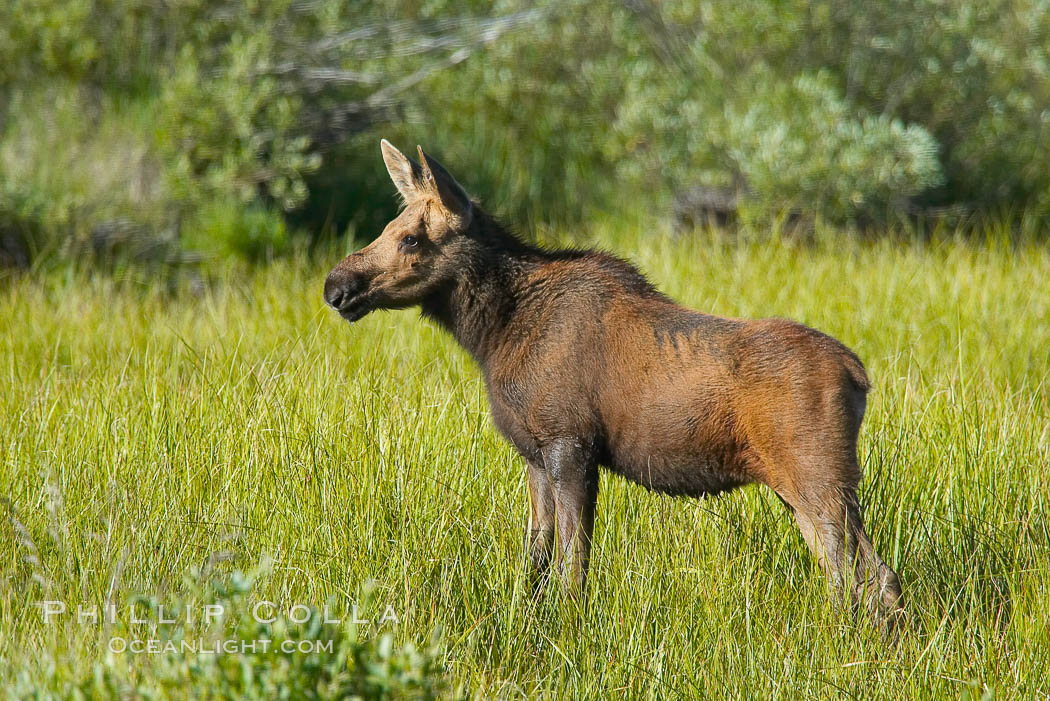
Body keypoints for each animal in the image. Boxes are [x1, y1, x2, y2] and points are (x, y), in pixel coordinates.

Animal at [323, 139, 907, 625]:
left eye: (411, 238)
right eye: (387, 227)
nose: (335, 286)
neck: (493, 336)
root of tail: (860, 377)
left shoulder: (570, 444)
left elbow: (572, 567)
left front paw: (570, 630)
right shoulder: (535, 454)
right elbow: (535, 561)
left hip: (819, 478)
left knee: (867, 576)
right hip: (804, 487)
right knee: (862, 577)